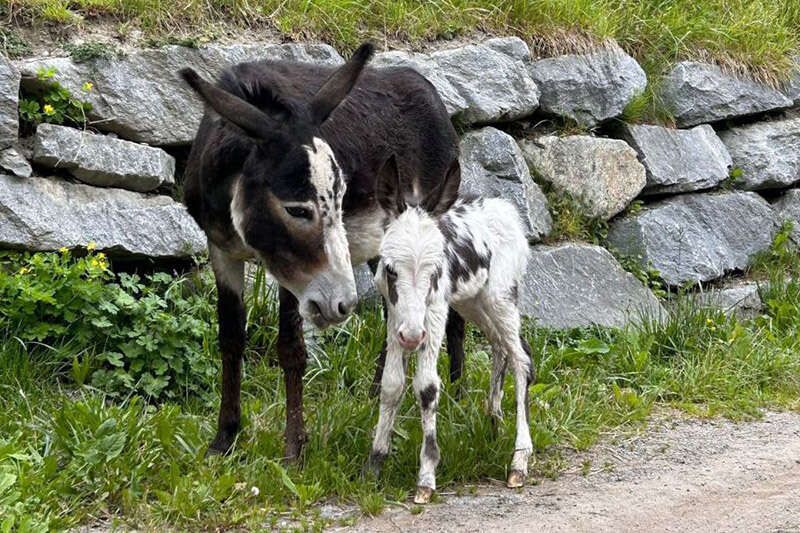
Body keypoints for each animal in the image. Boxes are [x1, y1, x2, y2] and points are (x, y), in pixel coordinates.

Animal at [368, 157, 532, 502]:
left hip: (500, 296)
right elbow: (391, 384)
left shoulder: (435, 312)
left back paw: (519, 461)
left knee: (522, 358)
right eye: (390, 269)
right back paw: (494, 421)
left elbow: (427, 386)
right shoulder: (394, 315)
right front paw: (374, 465)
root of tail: (506, 209)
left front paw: (426, 477)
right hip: (473, 301)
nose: (412, 337)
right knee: (500, 347)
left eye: (435, 270)